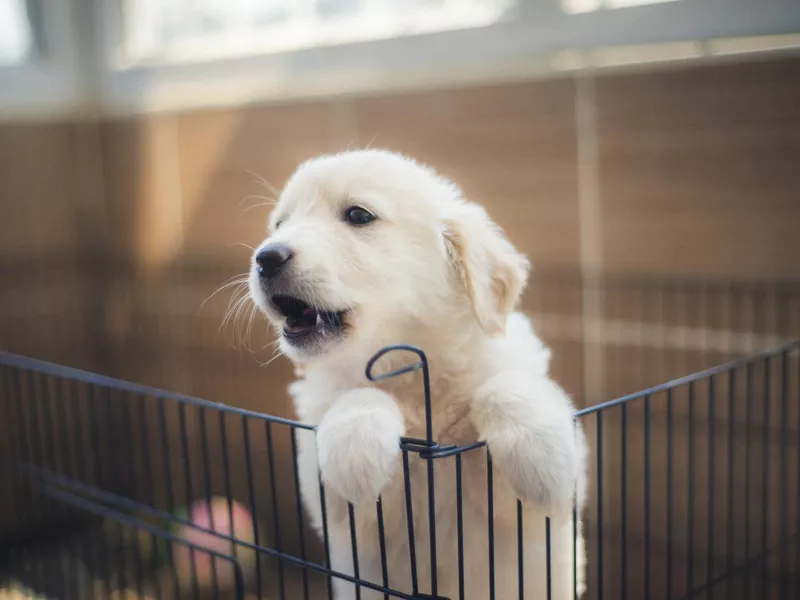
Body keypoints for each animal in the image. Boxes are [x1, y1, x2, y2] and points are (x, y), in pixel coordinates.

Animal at [248, 150, 588, 600]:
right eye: (279, 224)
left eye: (358, 215)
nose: (266, 258)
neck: (411, 374)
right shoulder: (345, 515)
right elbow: (356, 398)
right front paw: (356, 451)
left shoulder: (523, 520)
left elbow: (505, 389)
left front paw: (541, 458)